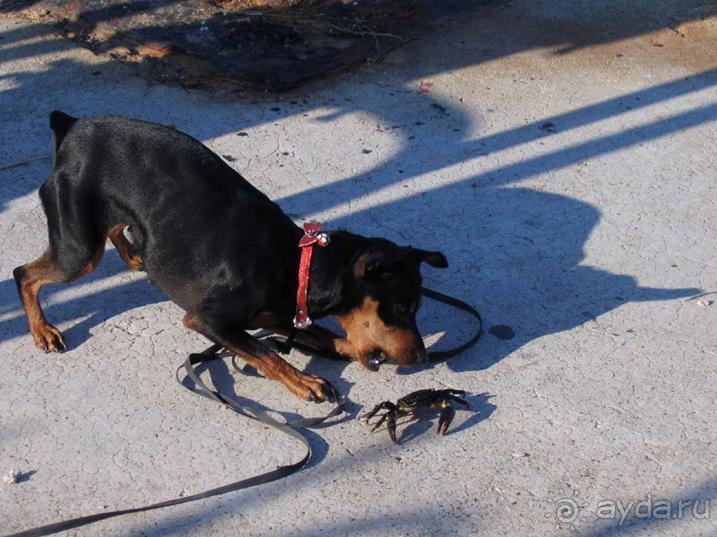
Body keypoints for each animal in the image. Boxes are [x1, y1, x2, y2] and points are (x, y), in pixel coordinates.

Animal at [14, 111, 444, 400]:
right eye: (403, 309)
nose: (423, 358)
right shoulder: (208, 320)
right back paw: (42, 330)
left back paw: (136, 255)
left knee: (116, 227)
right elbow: (266, 353)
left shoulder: (284, 317)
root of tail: (72, 128)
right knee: (24, 274)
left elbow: (326, 337)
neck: (297, 264)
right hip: (79, 251)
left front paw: (347, 349)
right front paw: (304, 381)